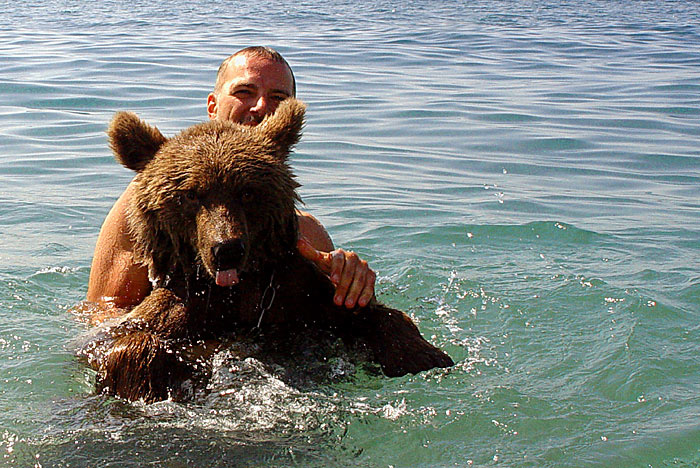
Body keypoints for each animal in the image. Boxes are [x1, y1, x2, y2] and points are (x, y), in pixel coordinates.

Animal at [83, 98, 453, 402]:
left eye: (247, 191)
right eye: (190, 194)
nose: (227, 249)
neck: (231, 292)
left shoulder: (297, 297)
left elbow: (372, 313)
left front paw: (424, 354)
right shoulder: (179, 306)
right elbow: (124, 341)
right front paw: (148, 377)